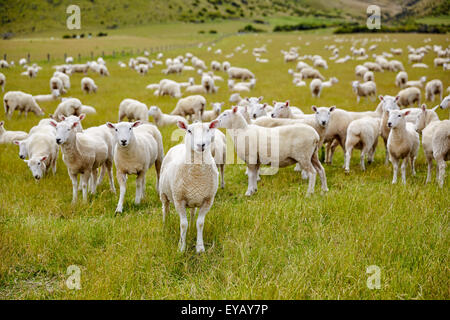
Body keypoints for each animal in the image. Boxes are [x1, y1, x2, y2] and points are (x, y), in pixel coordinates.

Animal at [159, 119, 221, 251]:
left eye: (208, 129)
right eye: (189, 130)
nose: (201, 145)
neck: (197, 175)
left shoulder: (207, 200)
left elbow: (200, 223)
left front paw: (200, 247)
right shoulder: (179, 199)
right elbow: (183, 224)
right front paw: (181, 247)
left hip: (194, 198)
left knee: (192, 213)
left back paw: (192, 226)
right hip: (163, 193)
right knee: (165, 209)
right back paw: (165, 226)